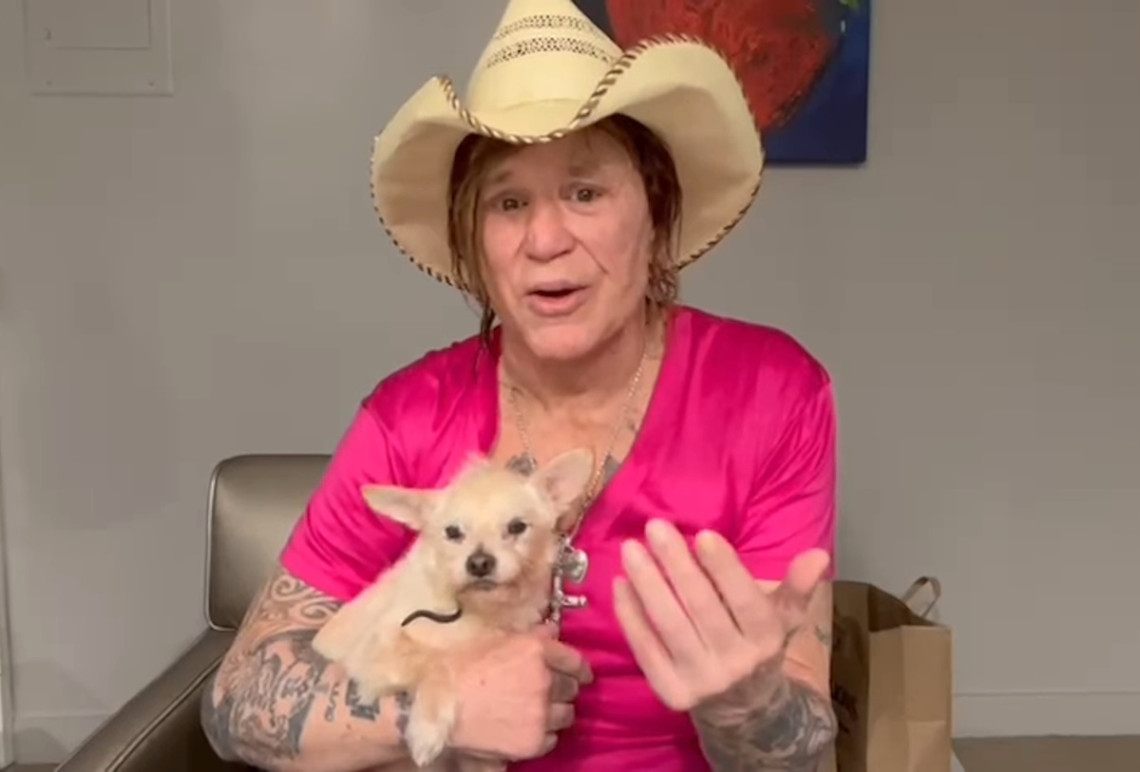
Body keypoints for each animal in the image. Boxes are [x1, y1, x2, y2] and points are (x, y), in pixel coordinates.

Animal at [312, 447, 595, 770]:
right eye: (452, 532)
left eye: (517, 527)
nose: (479, 563)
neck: (478, 612)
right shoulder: (375, 653)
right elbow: (439, 661)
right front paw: (428, 728)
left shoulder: (479, 759)